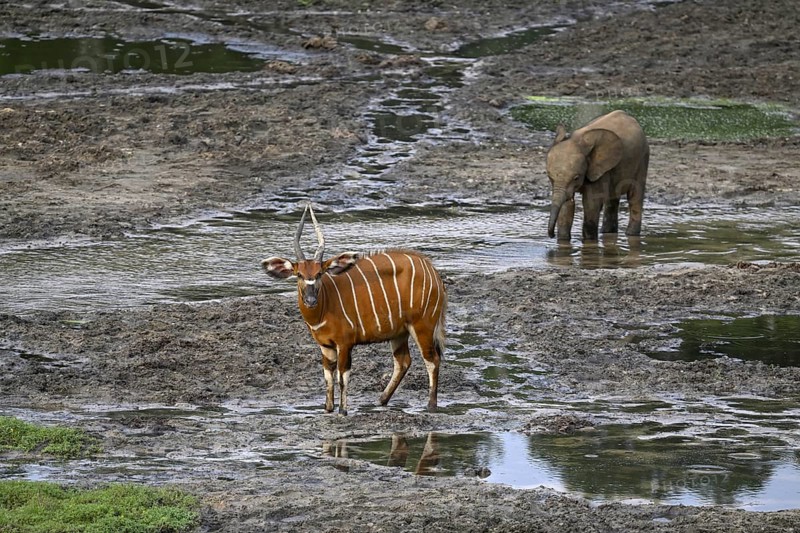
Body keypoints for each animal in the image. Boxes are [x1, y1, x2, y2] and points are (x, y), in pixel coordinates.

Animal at [262, 203, 447, 415]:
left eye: (319, 273)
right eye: (299, 274)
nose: (310, 299)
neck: (323, 308)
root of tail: (432, 269)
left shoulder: (344, 343)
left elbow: (343, 376)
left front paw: (343, 410)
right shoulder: (326, 346)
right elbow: (328, 377)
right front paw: (328, 409)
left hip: (422, 325)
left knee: (432, 360)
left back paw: (430, 405)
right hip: (399, 332)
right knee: (403, 361)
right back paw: (381, 401)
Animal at [546, 110, 649, 242]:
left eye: (576, 178)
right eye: (550, 177)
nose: (551, 235)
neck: (577, 141)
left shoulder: (598, 169)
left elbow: (591, 203)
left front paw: (589, 241)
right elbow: (567, 205)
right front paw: (563, 241)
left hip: (642, 157)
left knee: (635, 196)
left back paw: (631, 234)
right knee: (612, 198)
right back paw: (607, 232)